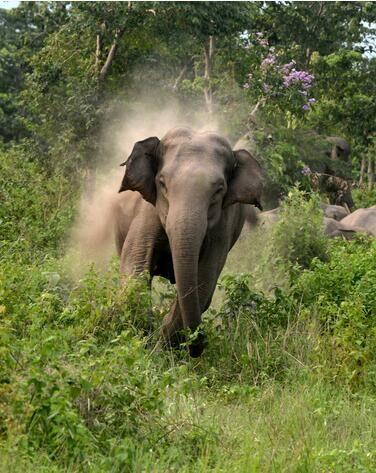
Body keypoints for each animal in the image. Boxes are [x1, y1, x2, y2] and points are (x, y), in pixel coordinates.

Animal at [116, 127, 262, 356]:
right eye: (162, 183)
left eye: (219, 189)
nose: (199, 347)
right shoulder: (147, 212)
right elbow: (136, 265)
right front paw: (142, 337)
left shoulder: (222, 227)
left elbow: (204, 281)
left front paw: (161, 349)